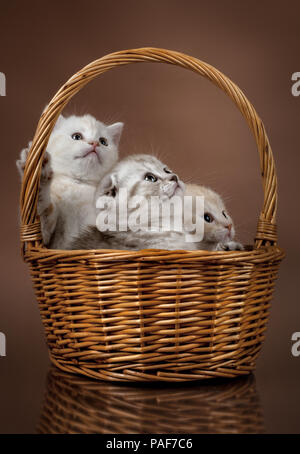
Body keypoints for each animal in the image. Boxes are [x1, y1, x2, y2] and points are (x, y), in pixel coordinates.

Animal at [16, 113, 123, 248]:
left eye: (103, 141)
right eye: (76, 136)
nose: (94, 143)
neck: (78, 184)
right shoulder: (46, 240)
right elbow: (43, 214)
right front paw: (40, 171)